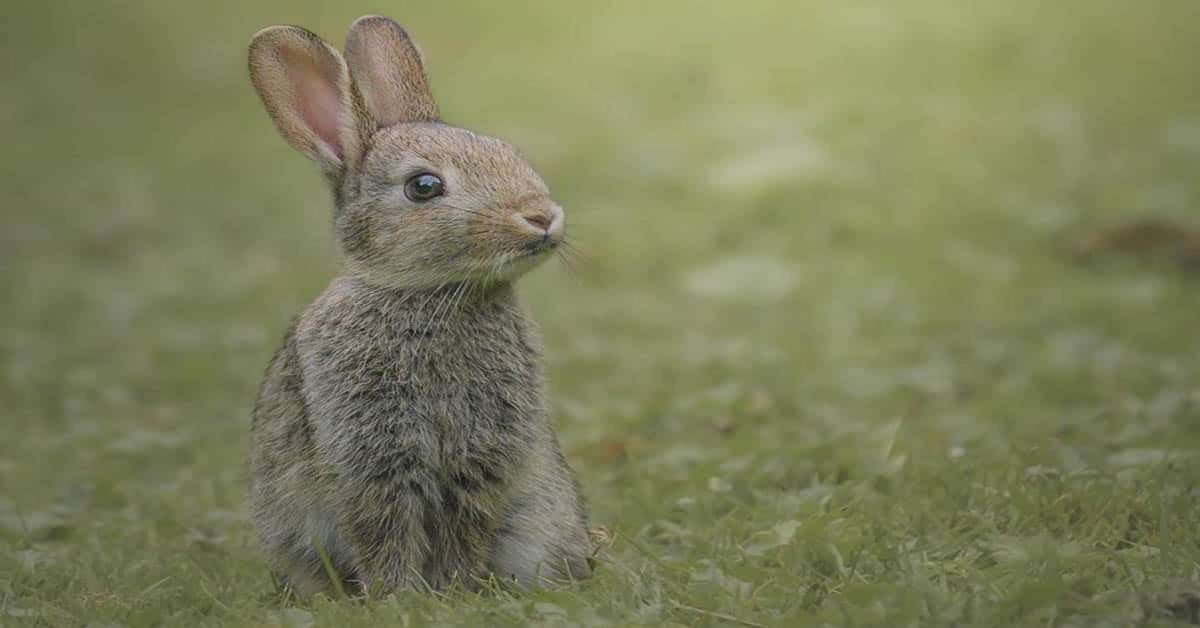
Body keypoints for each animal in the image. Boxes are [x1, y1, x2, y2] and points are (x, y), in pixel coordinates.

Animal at [246, 12, 592, 597]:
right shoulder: (370, 459)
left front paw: (453, 592)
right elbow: (384, 533)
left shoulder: (480, 459)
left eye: (510, 154)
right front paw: (400, 598)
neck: (430, 295)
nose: (542, 216)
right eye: (424, 186)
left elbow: (464, 529)